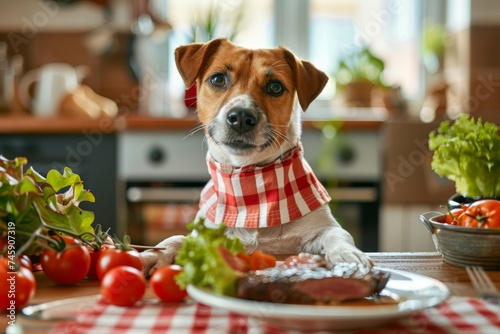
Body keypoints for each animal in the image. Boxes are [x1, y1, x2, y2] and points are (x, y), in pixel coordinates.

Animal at [141, 37, 372, 276]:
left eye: (275, 87)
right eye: (218, 79)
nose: (241, 117)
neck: (250, 187)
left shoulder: (320, 227)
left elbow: (337, 234)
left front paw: (347, 254)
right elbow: (177, 238)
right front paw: (154, 254)